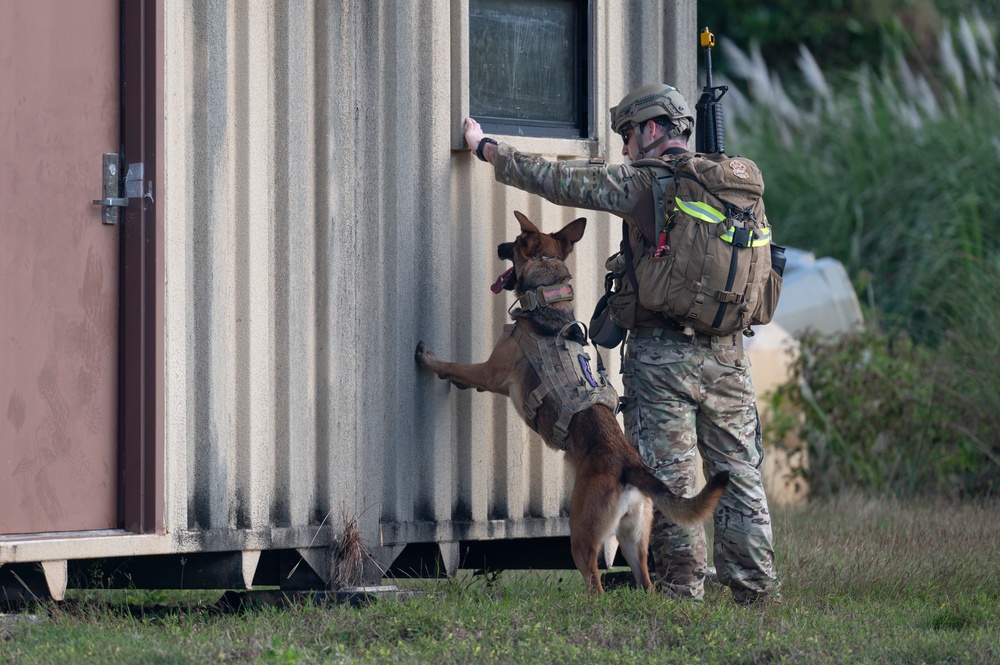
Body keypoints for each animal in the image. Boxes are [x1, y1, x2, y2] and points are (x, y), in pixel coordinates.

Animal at [414, 211, 728, 592]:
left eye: (516, 241)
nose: (500, 246)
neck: (548, 301)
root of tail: (631, 467)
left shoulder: (491, 372)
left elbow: (456, 366)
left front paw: (430, 360)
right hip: (633, 542)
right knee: (648, 586)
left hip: (581, 536)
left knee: (596, 585)